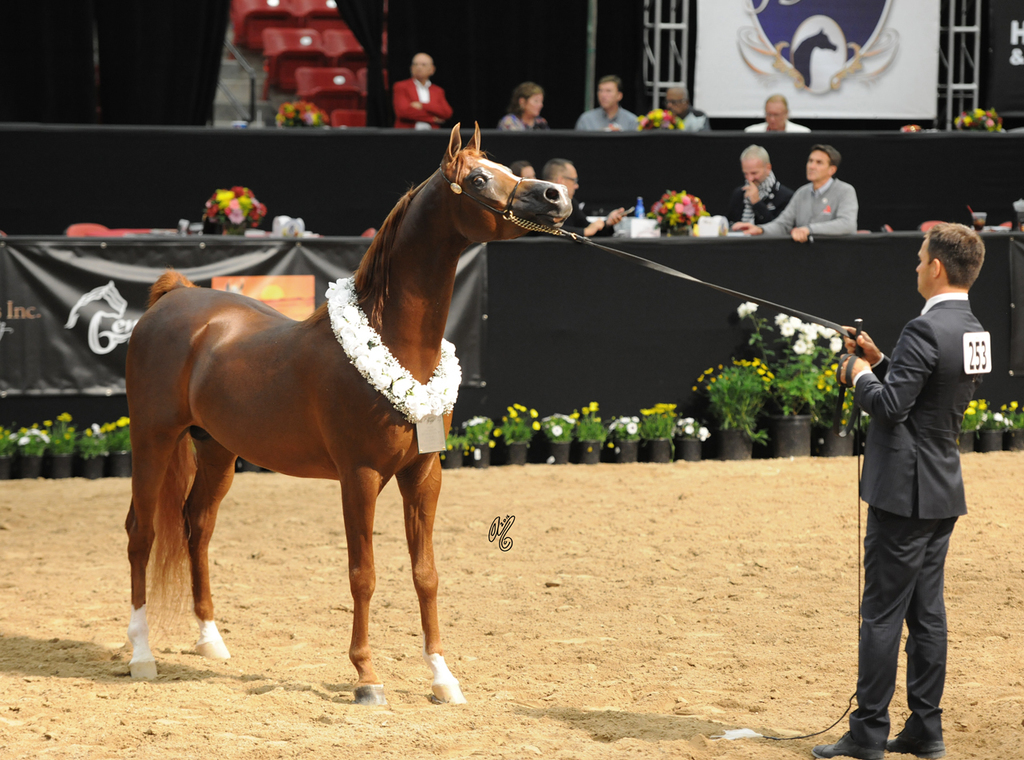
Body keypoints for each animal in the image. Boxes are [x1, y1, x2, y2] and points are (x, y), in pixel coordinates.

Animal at [122, 123, 571, 705]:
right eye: (477, 178)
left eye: (506, 169)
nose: (556, 196)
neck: (398, 345)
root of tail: (173, 298)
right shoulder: (359, 476)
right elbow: (364, 574)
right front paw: (367, 678)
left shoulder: (423, 475)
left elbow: (426, 574)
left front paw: (443, 677)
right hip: (152, 440)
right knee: (141, 533)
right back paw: (141, 655)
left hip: (216, 449)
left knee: (197, 527)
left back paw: (211, 641)